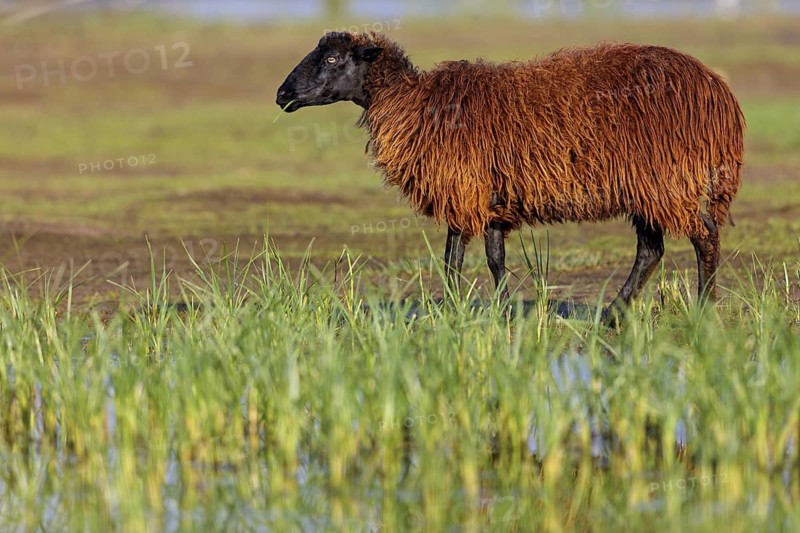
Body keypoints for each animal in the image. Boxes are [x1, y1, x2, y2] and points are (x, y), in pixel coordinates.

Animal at [276, 32, 745, 316]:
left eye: (332, 57)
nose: (282, 94)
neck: (412, 103)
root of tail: (717, 90)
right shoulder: (489, 198)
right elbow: (493, 257)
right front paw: (501, 308)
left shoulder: (462, 188)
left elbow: (454, 258)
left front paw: (453, 310)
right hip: (647, 186)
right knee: (651, 250)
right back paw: (614, 314)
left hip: (667, 179)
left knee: (703, 236)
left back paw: (703, 308)